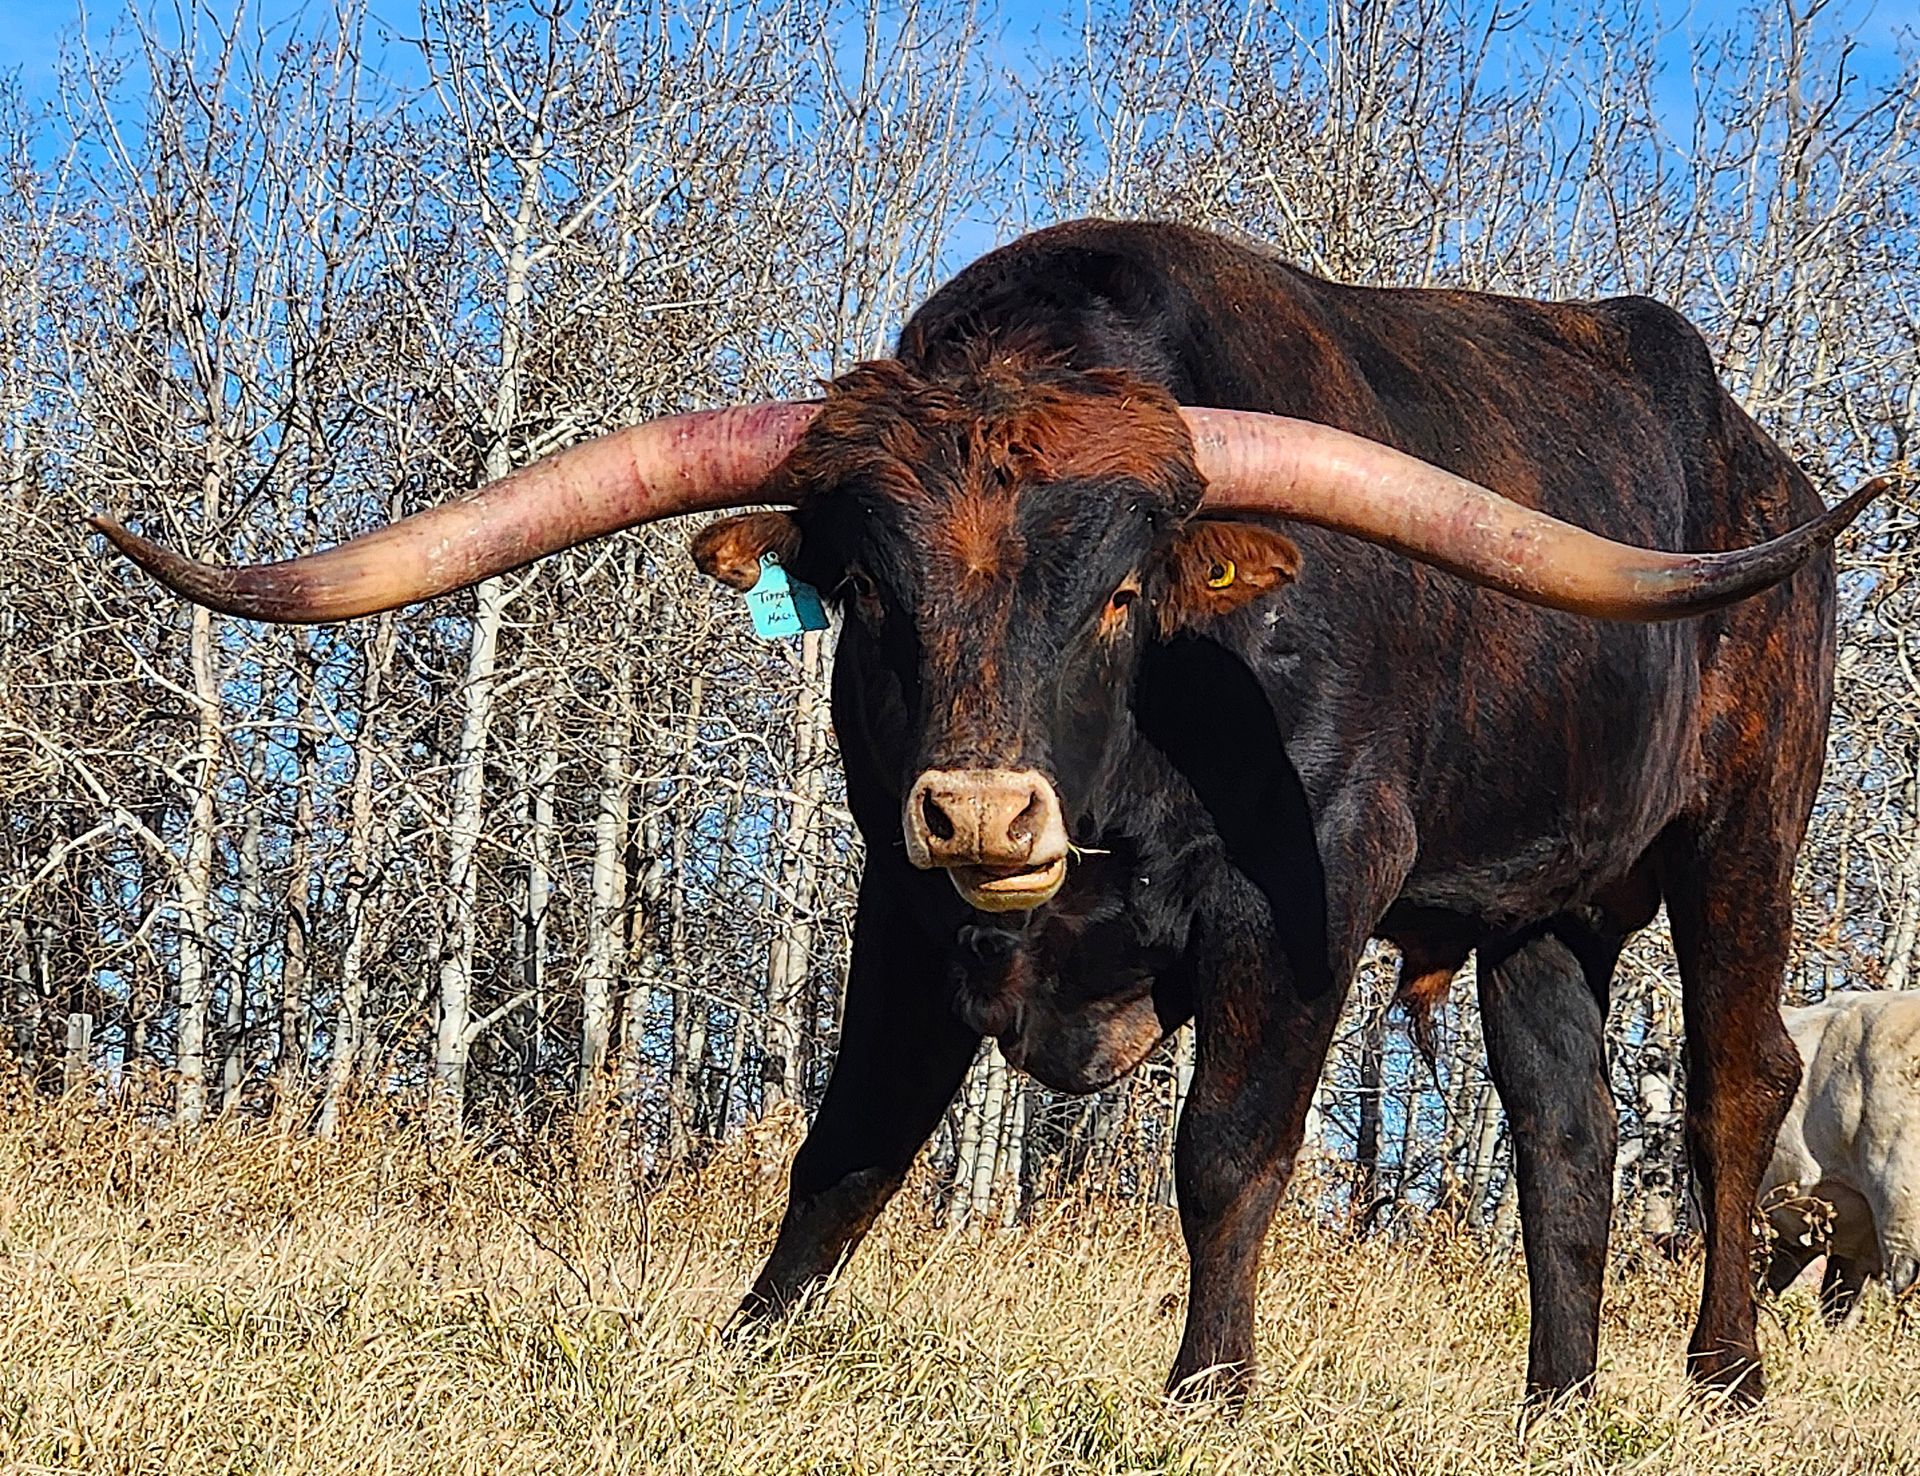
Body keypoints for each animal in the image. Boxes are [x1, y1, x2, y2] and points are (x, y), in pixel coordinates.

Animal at [93, 219, 1887, 1405]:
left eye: (1119, 597)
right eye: (870, 594)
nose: (979, 814)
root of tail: (1763, 468)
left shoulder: (1304, 899)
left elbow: (1226, 1154)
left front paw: (1207, 1393)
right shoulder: (900, 907)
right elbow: (847, 1149)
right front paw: (746, 1346)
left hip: (1747, 837)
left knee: (1732, 1088)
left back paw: (1722, 1372)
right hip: (1536, 909)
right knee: (1566, 1131)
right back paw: (1556, 1401)